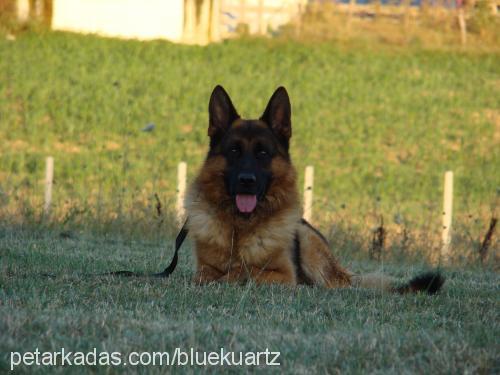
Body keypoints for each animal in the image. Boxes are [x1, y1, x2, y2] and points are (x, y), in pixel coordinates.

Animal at [186, 86, 444, 296]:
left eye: (263, 153)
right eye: (233, 151)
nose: (246, 180)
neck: (240, 227)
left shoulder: (282, 275)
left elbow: (245, 270)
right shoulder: (203, 270)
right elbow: (214, 274)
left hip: (308, 241)